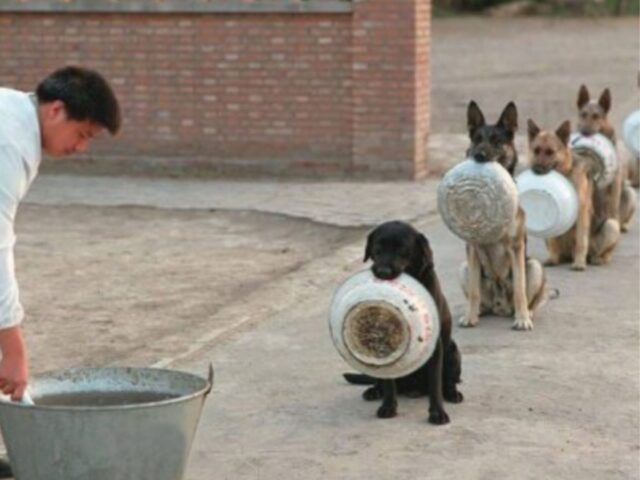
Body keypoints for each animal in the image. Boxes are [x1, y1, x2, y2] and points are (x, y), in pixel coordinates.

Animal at [342, 221, 462, 424]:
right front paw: (388, 406)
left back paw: (452, 393)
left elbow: (435, 384)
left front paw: (437, 413)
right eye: (377, 249)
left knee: (448, 381)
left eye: (403, 250)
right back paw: (374, 391)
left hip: (453, 350)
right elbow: (389, 384)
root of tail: (413, 388)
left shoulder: (434, 346)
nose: (382, 272)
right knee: (381, 381)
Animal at [458, 101, 548, 332]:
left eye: (497, 141)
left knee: (530, 297)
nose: (479, 156)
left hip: (534, 266)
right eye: (477, 139)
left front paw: (522, 319)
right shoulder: (472, 248)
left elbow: (520, 289)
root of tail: (499, 307)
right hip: (465, 267)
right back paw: (478, 312)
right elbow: (474, 291)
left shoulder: (516, 247)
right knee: (479, 297)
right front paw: (470, 317)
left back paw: (527, 313)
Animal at [524, 119, 620, 270]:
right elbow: (553, 239)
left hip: (612, 225)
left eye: (550, 152)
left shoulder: (582, 213)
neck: (566, 172)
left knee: (603, 253)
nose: (537, 170)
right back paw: (558, 258)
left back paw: (597, 259)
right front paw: (553, 259)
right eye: (536, 150)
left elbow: (581, 241)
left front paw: (579, 263)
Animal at [576, 86, 636, 232]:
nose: (584, 132)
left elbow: (613, 206)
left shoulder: (615, 183)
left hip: (630, 193)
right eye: (583, 114)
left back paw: (621, 225)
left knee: (619, 217)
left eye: (596, 116)